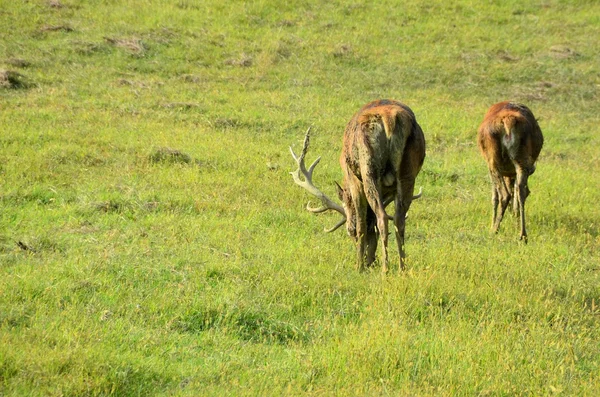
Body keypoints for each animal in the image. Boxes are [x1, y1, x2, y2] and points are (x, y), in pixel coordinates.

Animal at [290, 99, 426, 272]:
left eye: (349, 231)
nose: (370, 262)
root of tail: (390, 119)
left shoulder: (354, 180)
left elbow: (361, 223)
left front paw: (358, 266)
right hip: (407, 173)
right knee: (398, 219)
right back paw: (402, 268)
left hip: (368, 168)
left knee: (382, 217)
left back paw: (384, 269)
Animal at [478, 100, 544, 243]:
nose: (513, 214)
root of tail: (509, 121)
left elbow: (494, 196)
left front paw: (491, 223)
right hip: (522, 157)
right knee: (522, 190)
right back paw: (523, 234)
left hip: (493, 159)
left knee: (504, 194)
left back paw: (494, 229)